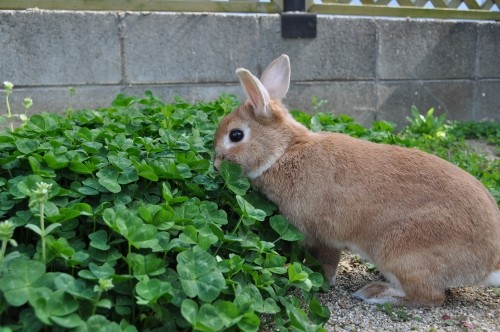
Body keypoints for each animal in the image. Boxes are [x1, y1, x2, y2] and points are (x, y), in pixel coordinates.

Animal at [212, 54, 500, 306]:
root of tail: (489, 262)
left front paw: (321, 283)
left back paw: (374, 294)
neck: (284, 151)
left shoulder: (322, 236)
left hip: (400, 252)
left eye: (236, 135)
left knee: (431, 297)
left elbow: (326, 262)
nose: (215, 165)